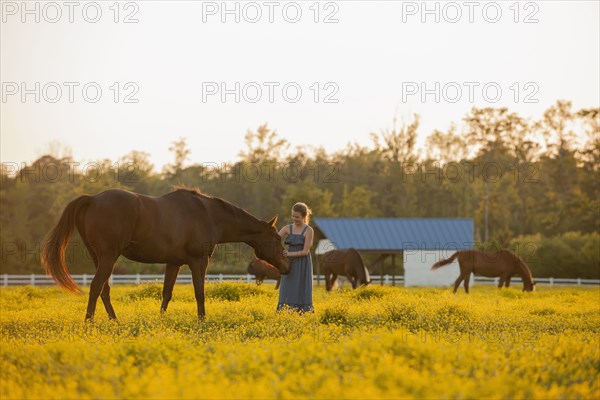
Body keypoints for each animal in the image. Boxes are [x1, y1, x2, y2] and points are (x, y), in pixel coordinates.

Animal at [41, 188, 290, 322]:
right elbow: (199, 293)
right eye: (278, 239)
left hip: (99, 257)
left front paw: (161, 321)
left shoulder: (174, 263)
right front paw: (202, 321)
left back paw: (115, 322)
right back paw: (89, 323)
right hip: (108, 257)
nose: (287, 266)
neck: (209, 215)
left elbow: (166, 294)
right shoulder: (198, 262)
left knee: (104, 289)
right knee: (95, 287)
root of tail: (93, 199)